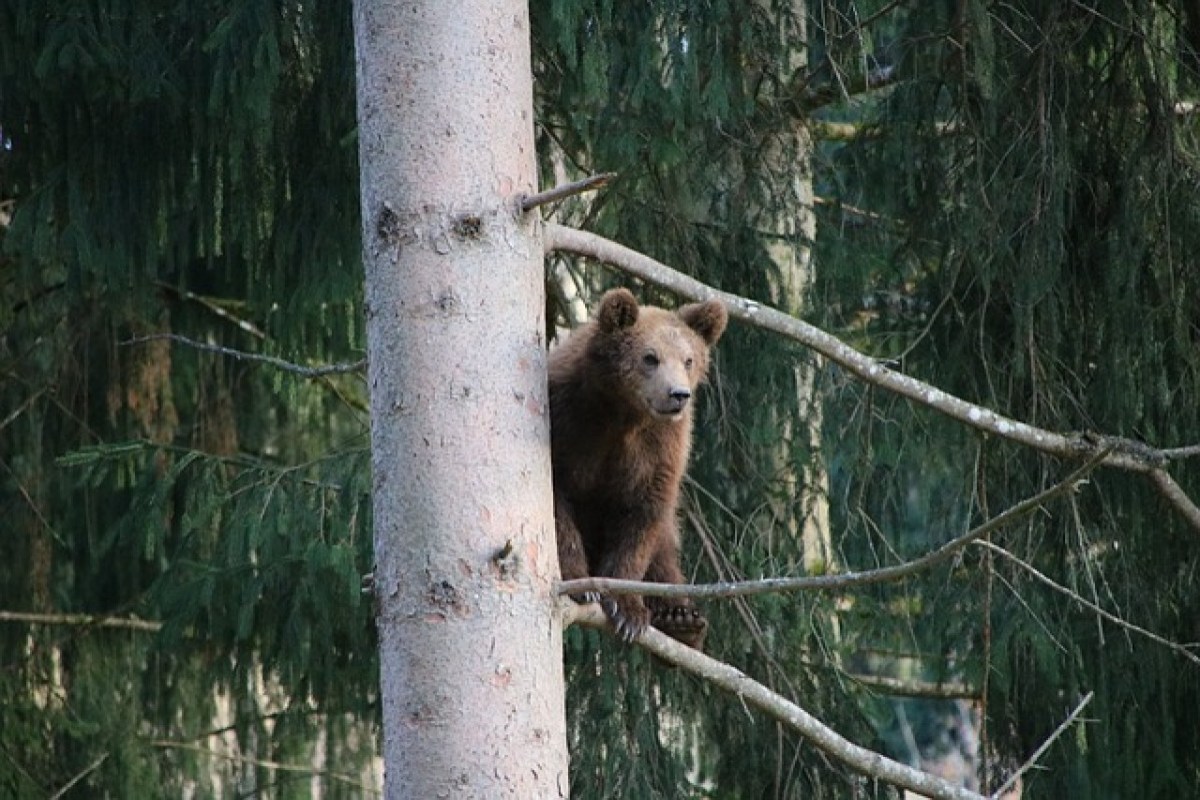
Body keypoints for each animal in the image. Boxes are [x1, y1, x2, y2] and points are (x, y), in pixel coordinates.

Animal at [549, 287, 727, 649]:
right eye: (650, 357)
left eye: (689, 359)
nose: (678, 394)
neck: (624, 414)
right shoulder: (568, 421)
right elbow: (559, 504)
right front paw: (581, 585)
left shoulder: (660, 448)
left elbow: (642, 515)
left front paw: (627, 607)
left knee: (665, 554)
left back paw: (682, 619)